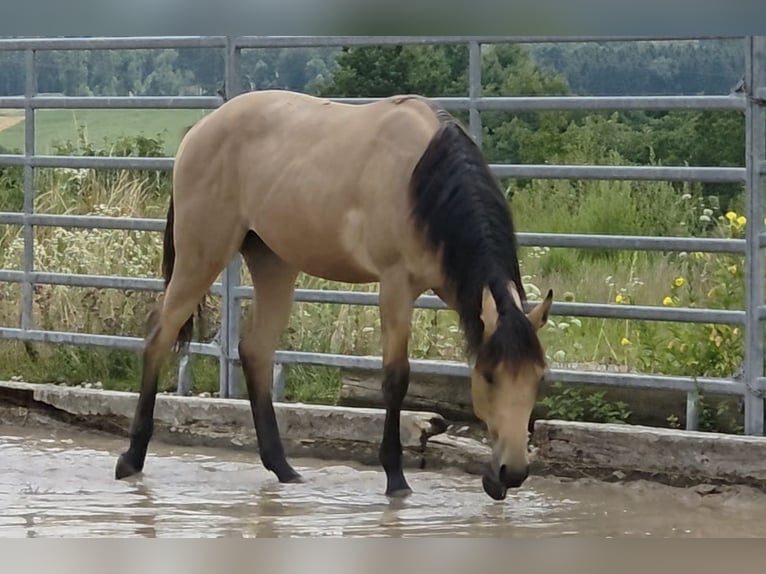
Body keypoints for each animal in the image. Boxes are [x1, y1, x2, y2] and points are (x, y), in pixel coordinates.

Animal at [114, 89, 553, 502]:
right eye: (490, 376)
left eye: (538, 378)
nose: (511, 473)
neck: (424, 181)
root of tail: (201, 131)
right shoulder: (396, 284)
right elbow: (396, 378)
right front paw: (396, 479)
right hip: (201, 256)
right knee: (160, 336)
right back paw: (132, 459)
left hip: (273, 262)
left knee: (255, 351)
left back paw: (283, 468)